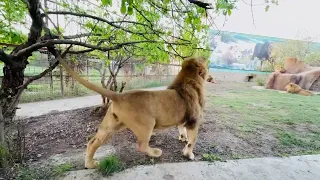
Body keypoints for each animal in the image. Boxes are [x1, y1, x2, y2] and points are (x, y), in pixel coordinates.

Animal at [59, 56, 209, 169]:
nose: (205, 57)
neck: (188, 79)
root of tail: (119, 95)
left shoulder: (184, 120)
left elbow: (182, 129)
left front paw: (183, 138)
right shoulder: (194, 121)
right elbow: (192, 141)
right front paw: (188, 154)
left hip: (110, 127)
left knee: (92, 142)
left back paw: (90, 164)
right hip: (147, 125)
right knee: (142, 145)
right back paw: (156, 152)